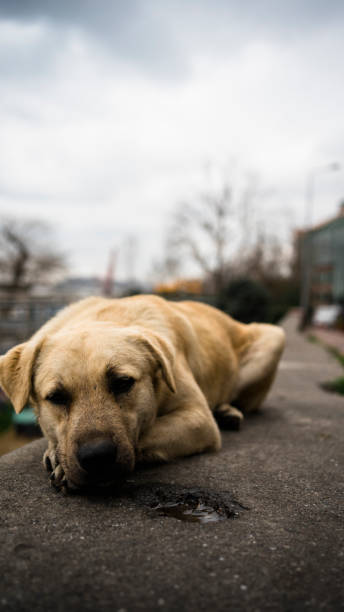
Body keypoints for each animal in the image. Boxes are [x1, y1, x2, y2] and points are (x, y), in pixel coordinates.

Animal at [0, 294, 284, 490]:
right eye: (56, 397)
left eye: (123, 383)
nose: (96, 457)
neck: (104, 317)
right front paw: (54, 453)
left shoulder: (198, 418)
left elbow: (149, 433)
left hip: (273, 339)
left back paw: (227, 410)